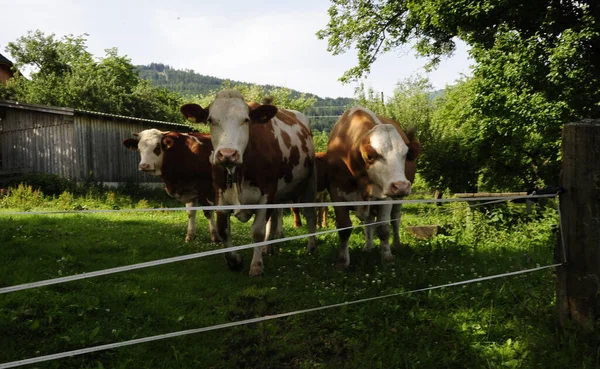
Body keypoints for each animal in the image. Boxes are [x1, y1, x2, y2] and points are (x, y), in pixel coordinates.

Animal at [179, 88, 316, 274]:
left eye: (246, 120)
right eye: (211, 120)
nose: (228, 154)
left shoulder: (266, 195)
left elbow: (257, 231)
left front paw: (256, 266)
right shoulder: (220, 195)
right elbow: (223, 230)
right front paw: (234, 261)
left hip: (308, 183)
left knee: (310, 213)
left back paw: (311, 247)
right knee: (274, 218)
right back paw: (268, 247)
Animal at [324, 106, 422, 268]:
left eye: (405, 154)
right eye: (370, 156)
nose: (401, 186)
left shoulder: (386, 197)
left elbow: (384, 229)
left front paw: (387, 257)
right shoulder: (336, 193)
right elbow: (344, 227)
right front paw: (343, 261)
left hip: (397, 200)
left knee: (395, 219)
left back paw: (396, 244)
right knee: (368, 223)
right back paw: (368, 247)